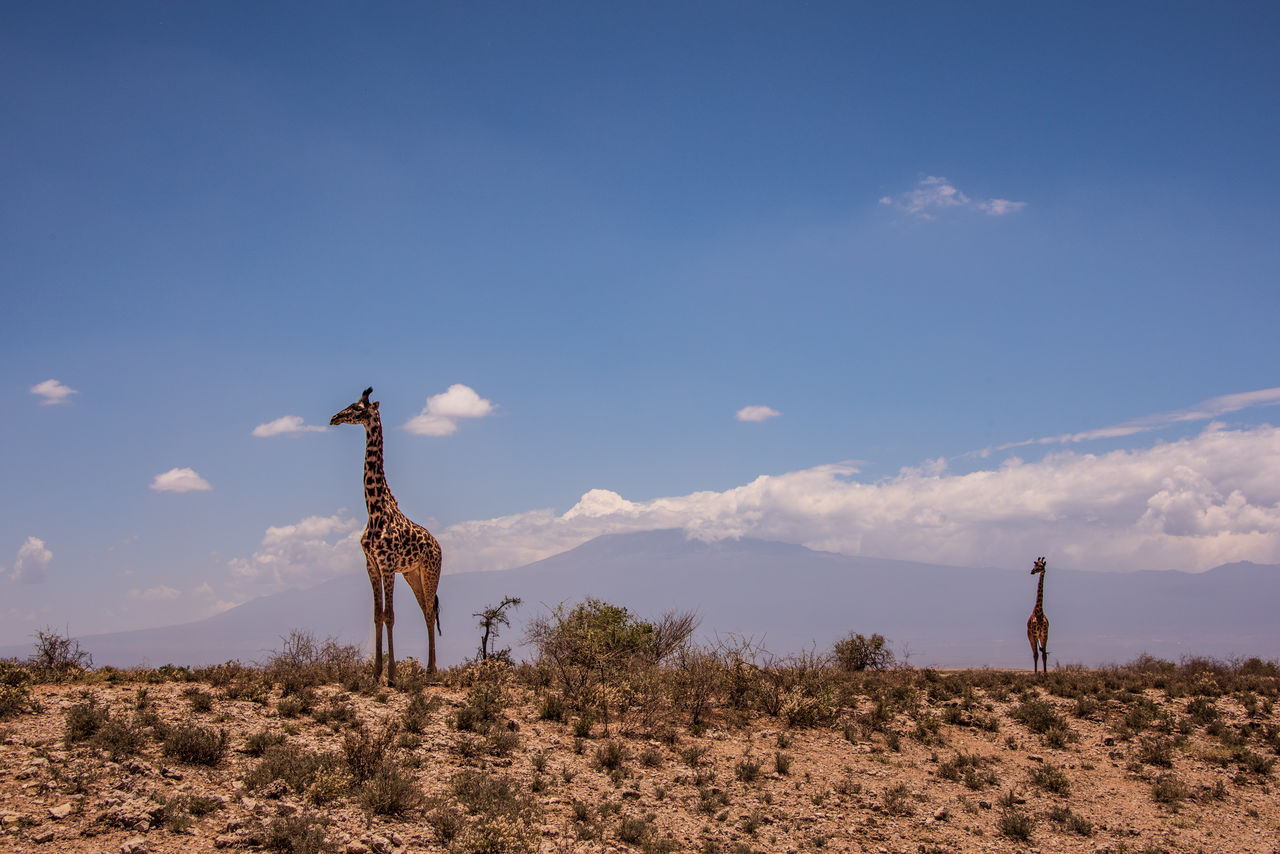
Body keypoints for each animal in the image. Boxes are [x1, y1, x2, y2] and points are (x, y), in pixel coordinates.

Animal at [330, 391, 445, 686]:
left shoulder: (388, 565)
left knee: (430, 612)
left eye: (357, 408)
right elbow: (377, 615)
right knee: (426, 611)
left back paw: (431, 671)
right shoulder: (372, 565)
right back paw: (428, 669)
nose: (334, 417)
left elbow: (390, 616)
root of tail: (438, 546)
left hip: (430, 571)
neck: (374, 509)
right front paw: (375, 673)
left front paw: (391, 675)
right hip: (413, 574)